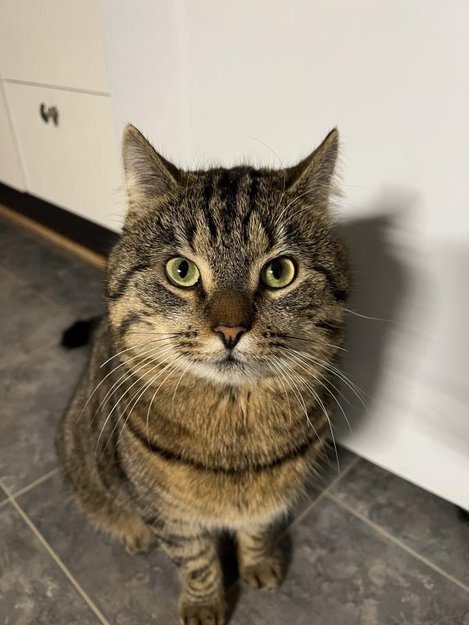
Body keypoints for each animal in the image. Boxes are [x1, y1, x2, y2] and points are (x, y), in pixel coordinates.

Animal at [56, 124, 349, 625]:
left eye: (280, 271)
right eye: (182, 270)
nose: (230, 330)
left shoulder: (270, 498)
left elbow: (257, 529)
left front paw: (258, 563)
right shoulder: (170, 514)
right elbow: (194, 560)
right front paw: (204, 604)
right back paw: (132, 532)